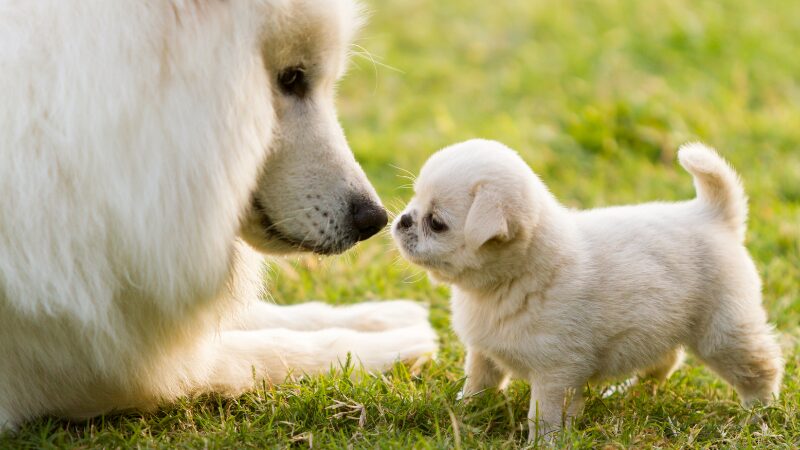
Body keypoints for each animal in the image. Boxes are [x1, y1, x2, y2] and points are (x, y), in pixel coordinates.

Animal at [0, 0, 438, 428]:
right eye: (292, 79)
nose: (374, 220)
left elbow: (264, 316)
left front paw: (379, 315)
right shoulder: (90, 365)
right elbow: (269, 350)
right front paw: (388, 347)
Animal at [394, 140, 780, 440]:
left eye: (436, 223)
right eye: (414, 202)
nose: (403, 220)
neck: (506, 281)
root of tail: (713, 215)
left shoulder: (555, 374)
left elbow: (543, 416)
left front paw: (543, 444)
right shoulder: (484, 354)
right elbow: (478, 383)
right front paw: (465, 412)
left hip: (724, 334)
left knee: (760, 368)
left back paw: (758, 416)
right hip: (661, 326)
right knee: (666, 360)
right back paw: (632, 390)